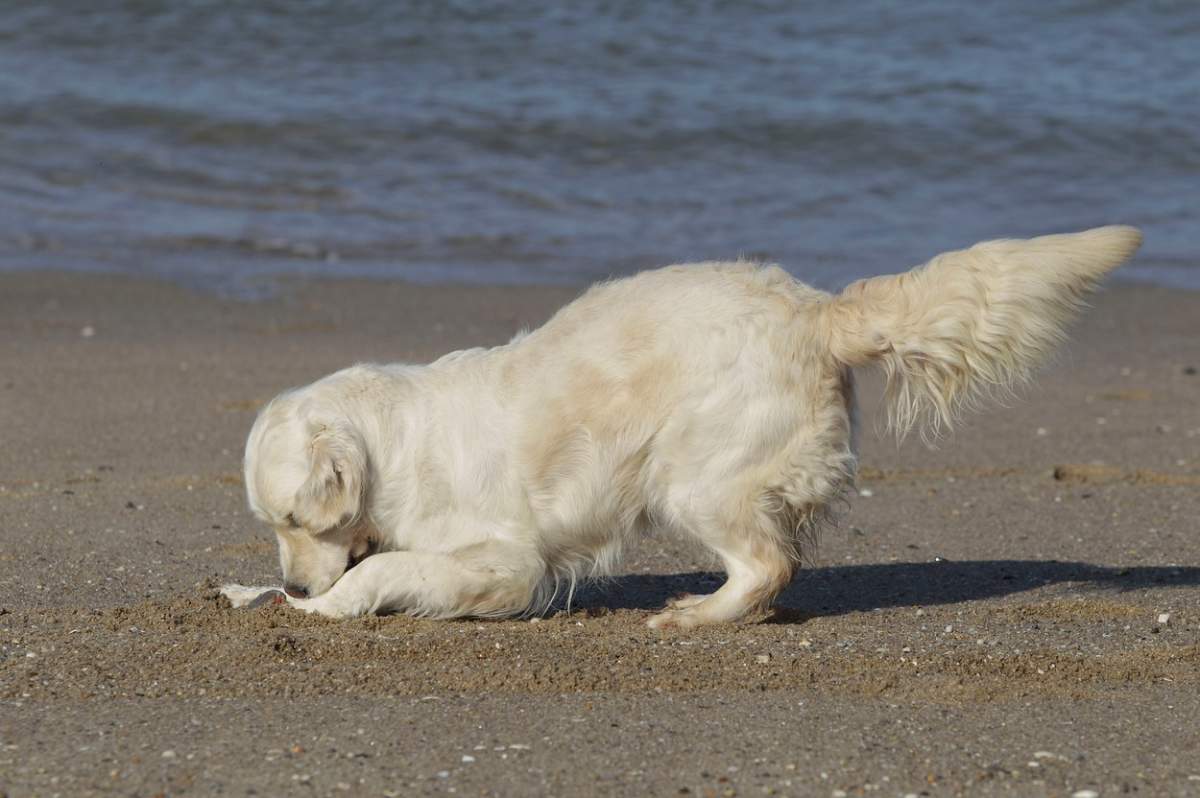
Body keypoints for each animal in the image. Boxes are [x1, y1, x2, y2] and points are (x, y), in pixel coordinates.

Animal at [223, 225, 1142, 628]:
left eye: (298, 519)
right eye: (272, 525)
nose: (295, 584)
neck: (389, 448)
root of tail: (814, 310)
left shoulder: (509, 559)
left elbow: (389, 571)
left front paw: (325, 605)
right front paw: (272, 593)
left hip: (694, 477)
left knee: (768, 565)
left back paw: (695, 616)